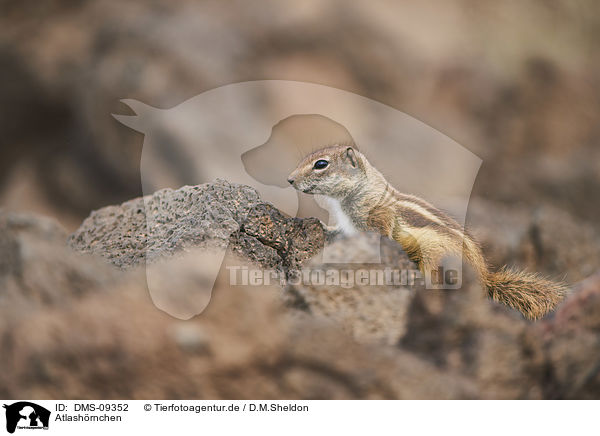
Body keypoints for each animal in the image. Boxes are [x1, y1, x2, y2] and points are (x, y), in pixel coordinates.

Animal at [288, 145, 568, 318]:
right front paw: (320, 227)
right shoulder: (348, 227)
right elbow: (338, 233)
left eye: (321, 164)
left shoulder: (379, 220)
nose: (289, 179)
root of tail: (485, 276)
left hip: (435, 256)